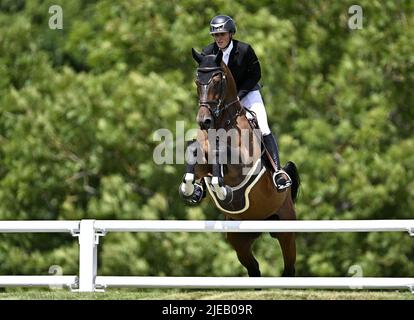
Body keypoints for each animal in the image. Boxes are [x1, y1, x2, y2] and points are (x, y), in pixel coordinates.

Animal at [179, 48, 300, 278]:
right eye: (197, 81)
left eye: (217, 81)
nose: (203, 121)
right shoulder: (203, 160)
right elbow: (194, 151)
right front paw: (190, 188)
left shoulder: (243, 166)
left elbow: (223, 153)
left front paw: (221, 188)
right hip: (239, 239)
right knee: (253, 268)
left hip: (286, 230)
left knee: (289, 268)